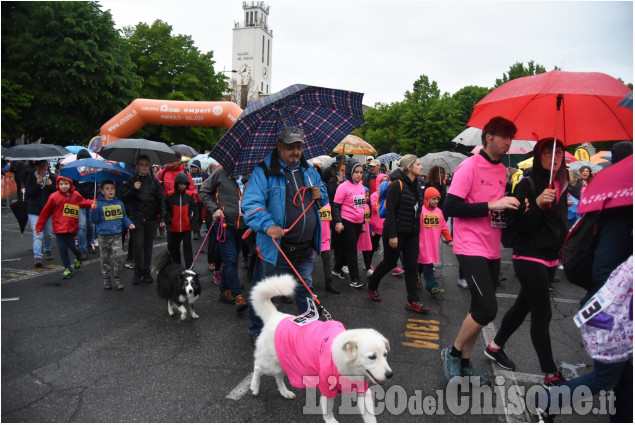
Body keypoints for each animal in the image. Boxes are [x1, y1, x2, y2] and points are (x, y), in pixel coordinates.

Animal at [250, 274, 392, 422]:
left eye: (385, 355)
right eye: (372, 357)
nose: (390, 375)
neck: (348, 367)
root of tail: (274, 316)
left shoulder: (363, 390)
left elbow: (370, 417)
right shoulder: (327, 389)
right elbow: (328, 412)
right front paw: (331, 421)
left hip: (283, 363)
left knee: (278, 378)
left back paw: (285, 392)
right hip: (271, 364)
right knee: (257, 367)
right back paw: (254, 386)